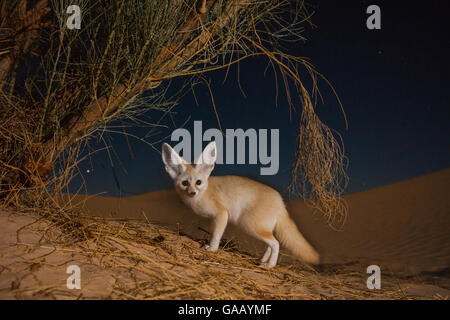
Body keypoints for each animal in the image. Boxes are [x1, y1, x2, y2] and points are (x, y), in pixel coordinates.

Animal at [162, 142, 320, 268]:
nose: (192, 192)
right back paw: (262, 260)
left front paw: (212, 248)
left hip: (250, 225)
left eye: (198, 182)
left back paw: (270, 265)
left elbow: (217, 235)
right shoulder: (213, 218)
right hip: (261, 228)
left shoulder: (222, 214)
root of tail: (280, 201)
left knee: (275, 244)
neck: (203, 194)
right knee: (270, 245)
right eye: (185, 183)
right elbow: (213, 232)